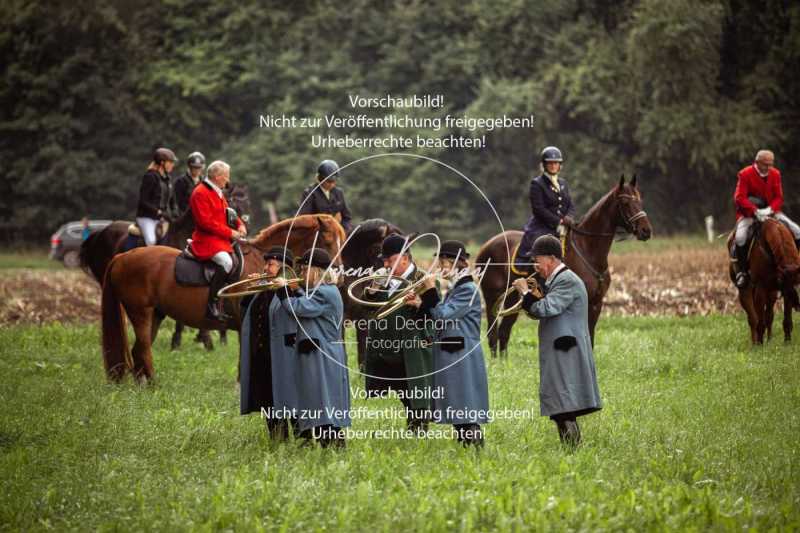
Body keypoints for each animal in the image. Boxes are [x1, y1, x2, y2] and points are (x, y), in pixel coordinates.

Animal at [99, 214, 344, 380]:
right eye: (328, 241)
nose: (338, 276)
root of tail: (122, 257)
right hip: (140, 313)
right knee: (143, 350)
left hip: (155, 315)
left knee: (139, 350)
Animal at [476, 176, 648, 358]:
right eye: (625, 202)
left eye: (639, 199)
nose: (646, 230)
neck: (587, 250)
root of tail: (486, 246)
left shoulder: (596, 303)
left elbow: (590, 337)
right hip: (492, 297)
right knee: (493, 333)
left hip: (513, 299)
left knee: (504, 331)